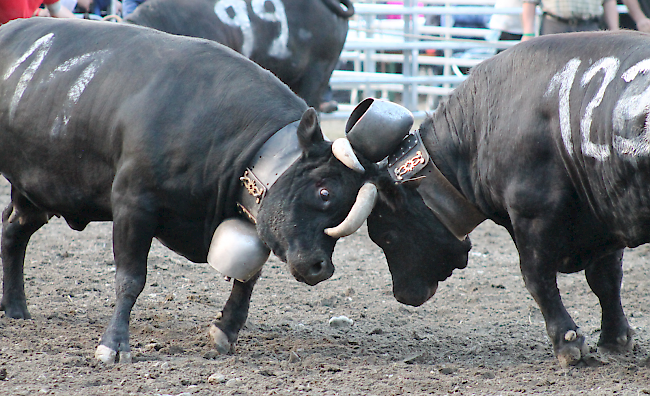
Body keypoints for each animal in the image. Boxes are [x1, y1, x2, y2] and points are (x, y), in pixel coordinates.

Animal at [0, 18, 380, 364]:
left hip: (34, 191)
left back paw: (15, 307)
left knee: (13, 233)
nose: (321, 267)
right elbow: (130, 278)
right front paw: (114, 344)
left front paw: (226, 329)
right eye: (325, 192)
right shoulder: (132, 204)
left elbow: (246, 279)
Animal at [360, 30, 650, 368]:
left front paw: (568, 343)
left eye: (387, 235)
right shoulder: (604, 211)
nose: (402, 294)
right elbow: (605, 279)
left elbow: (537, 278)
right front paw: (615, 338)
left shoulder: (532, 214)